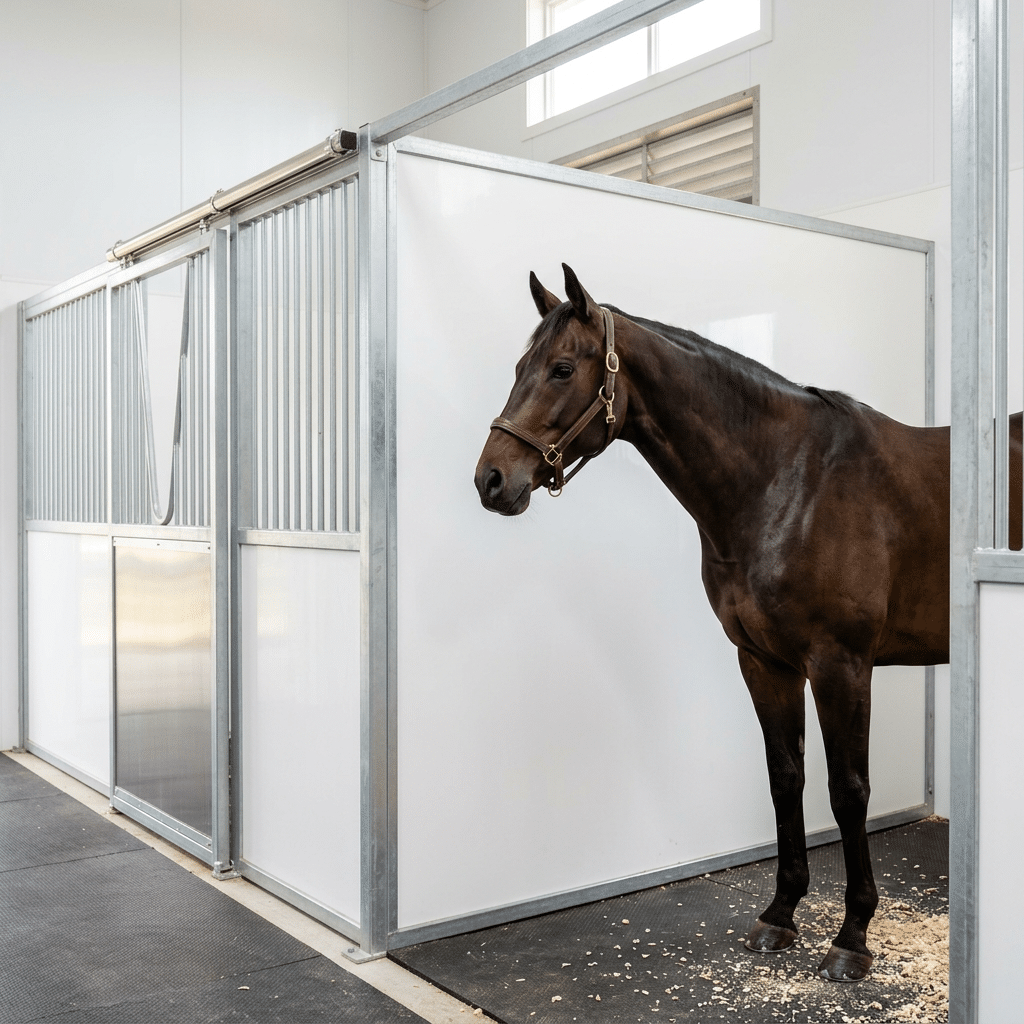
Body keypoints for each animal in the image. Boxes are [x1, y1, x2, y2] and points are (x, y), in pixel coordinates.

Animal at [474, 263, 1022, 983]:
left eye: (562, 369)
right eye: (520, 366)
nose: (490, 479)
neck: (788, 483)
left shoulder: (841, 663)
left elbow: (848, 790)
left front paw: (852, 938)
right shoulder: (765, 661)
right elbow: (784, 777)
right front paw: (780, 915)